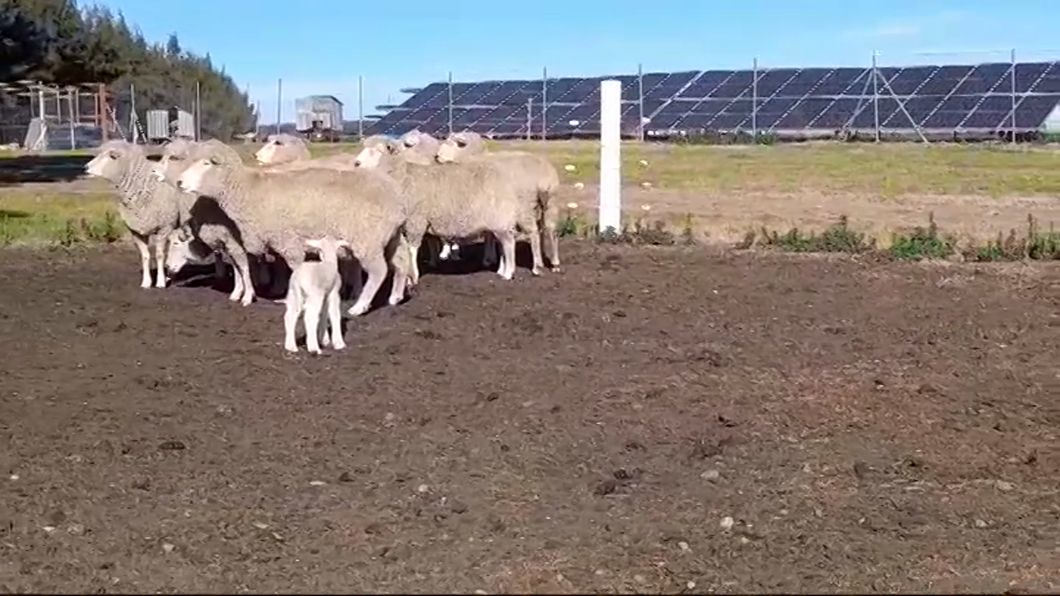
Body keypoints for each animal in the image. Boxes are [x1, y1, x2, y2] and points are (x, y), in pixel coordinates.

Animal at [83, 138, 191, 288]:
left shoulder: (164, 226)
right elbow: (145, 256)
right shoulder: (135, 230)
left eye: (111, 156)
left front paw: (160, 282)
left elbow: (159, 255)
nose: (85, 168)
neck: (147, 186)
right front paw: (146, 282)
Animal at [173, 142, 409, 316]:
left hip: (367, 239)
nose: (179, 182)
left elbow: (295, 269)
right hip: (391, 237)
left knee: (379, 271)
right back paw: (395, 297)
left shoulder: (288, 241)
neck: (247, 190)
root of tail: (396, 196)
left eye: (206, 163)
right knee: (400, 263)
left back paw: (359, 307)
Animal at [351, 144, 542, 282]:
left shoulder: (416, 220)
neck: (403, 177)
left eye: (377, 151)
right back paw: (507, 269)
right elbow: (428, 243)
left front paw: (414, 275)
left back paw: (518, 271)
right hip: (505, 218)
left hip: (504, 216)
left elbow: (412, 249)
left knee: (517, 240)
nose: (356, 163)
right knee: (510, 241)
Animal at [434, 130, 563, 273]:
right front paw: (492, 258)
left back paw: (545, 264)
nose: (437, 157)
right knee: (547, 228)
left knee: (542, 229)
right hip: (548, 200)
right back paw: (548, 261)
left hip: (531, 205)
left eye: (455, 143)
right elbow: (489, 233)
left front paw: (491, 259)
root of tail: (541, 175)